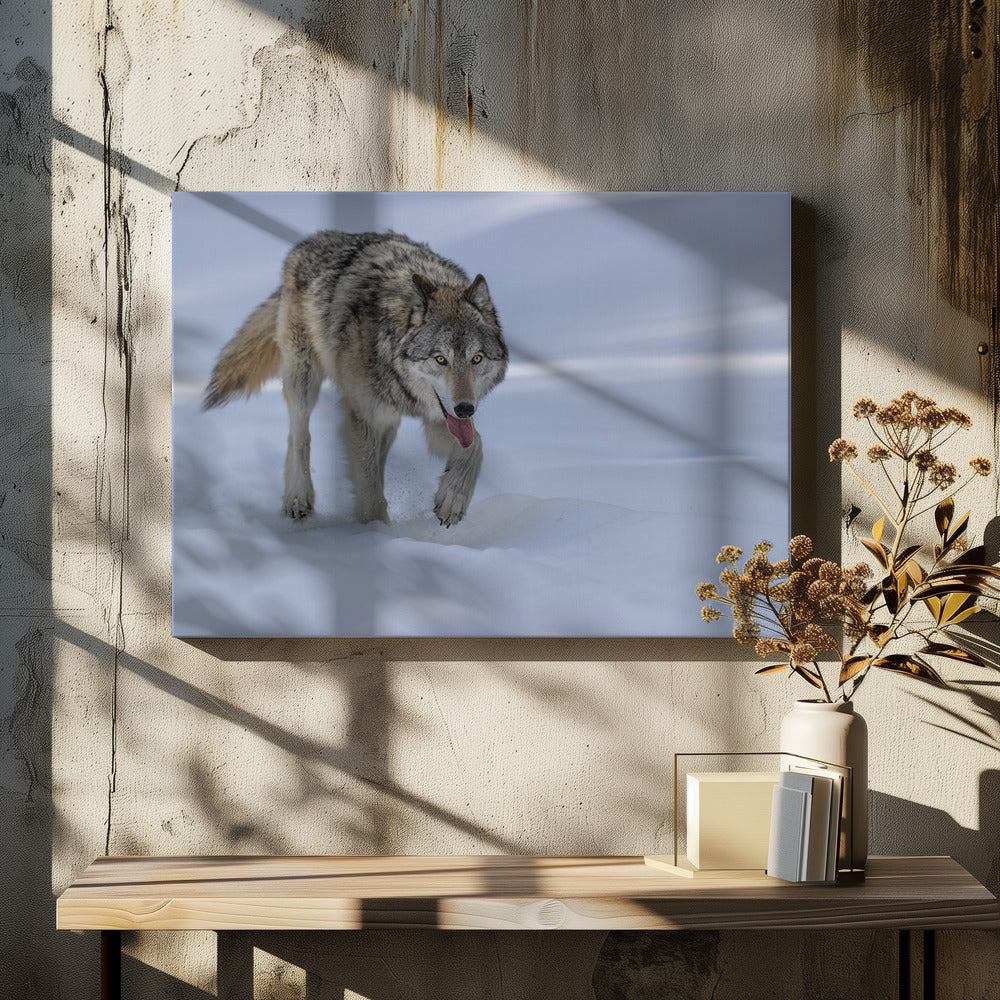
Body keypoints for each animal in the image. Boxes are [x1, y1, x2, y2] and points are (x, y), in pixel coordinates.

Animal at [203, 230, 508, 526]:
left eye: (477, 359)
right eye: (440, 359)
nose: (465, 408)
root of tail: (309, 241)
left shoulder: (433, 417)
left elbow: (475, 445)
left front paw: (452, 500)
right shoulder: (363, 416)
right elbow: (369, 490)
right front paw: (373, 532)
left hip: (388, 421)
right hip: (304, 379)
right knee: (299, 435)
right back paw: (298, 497)